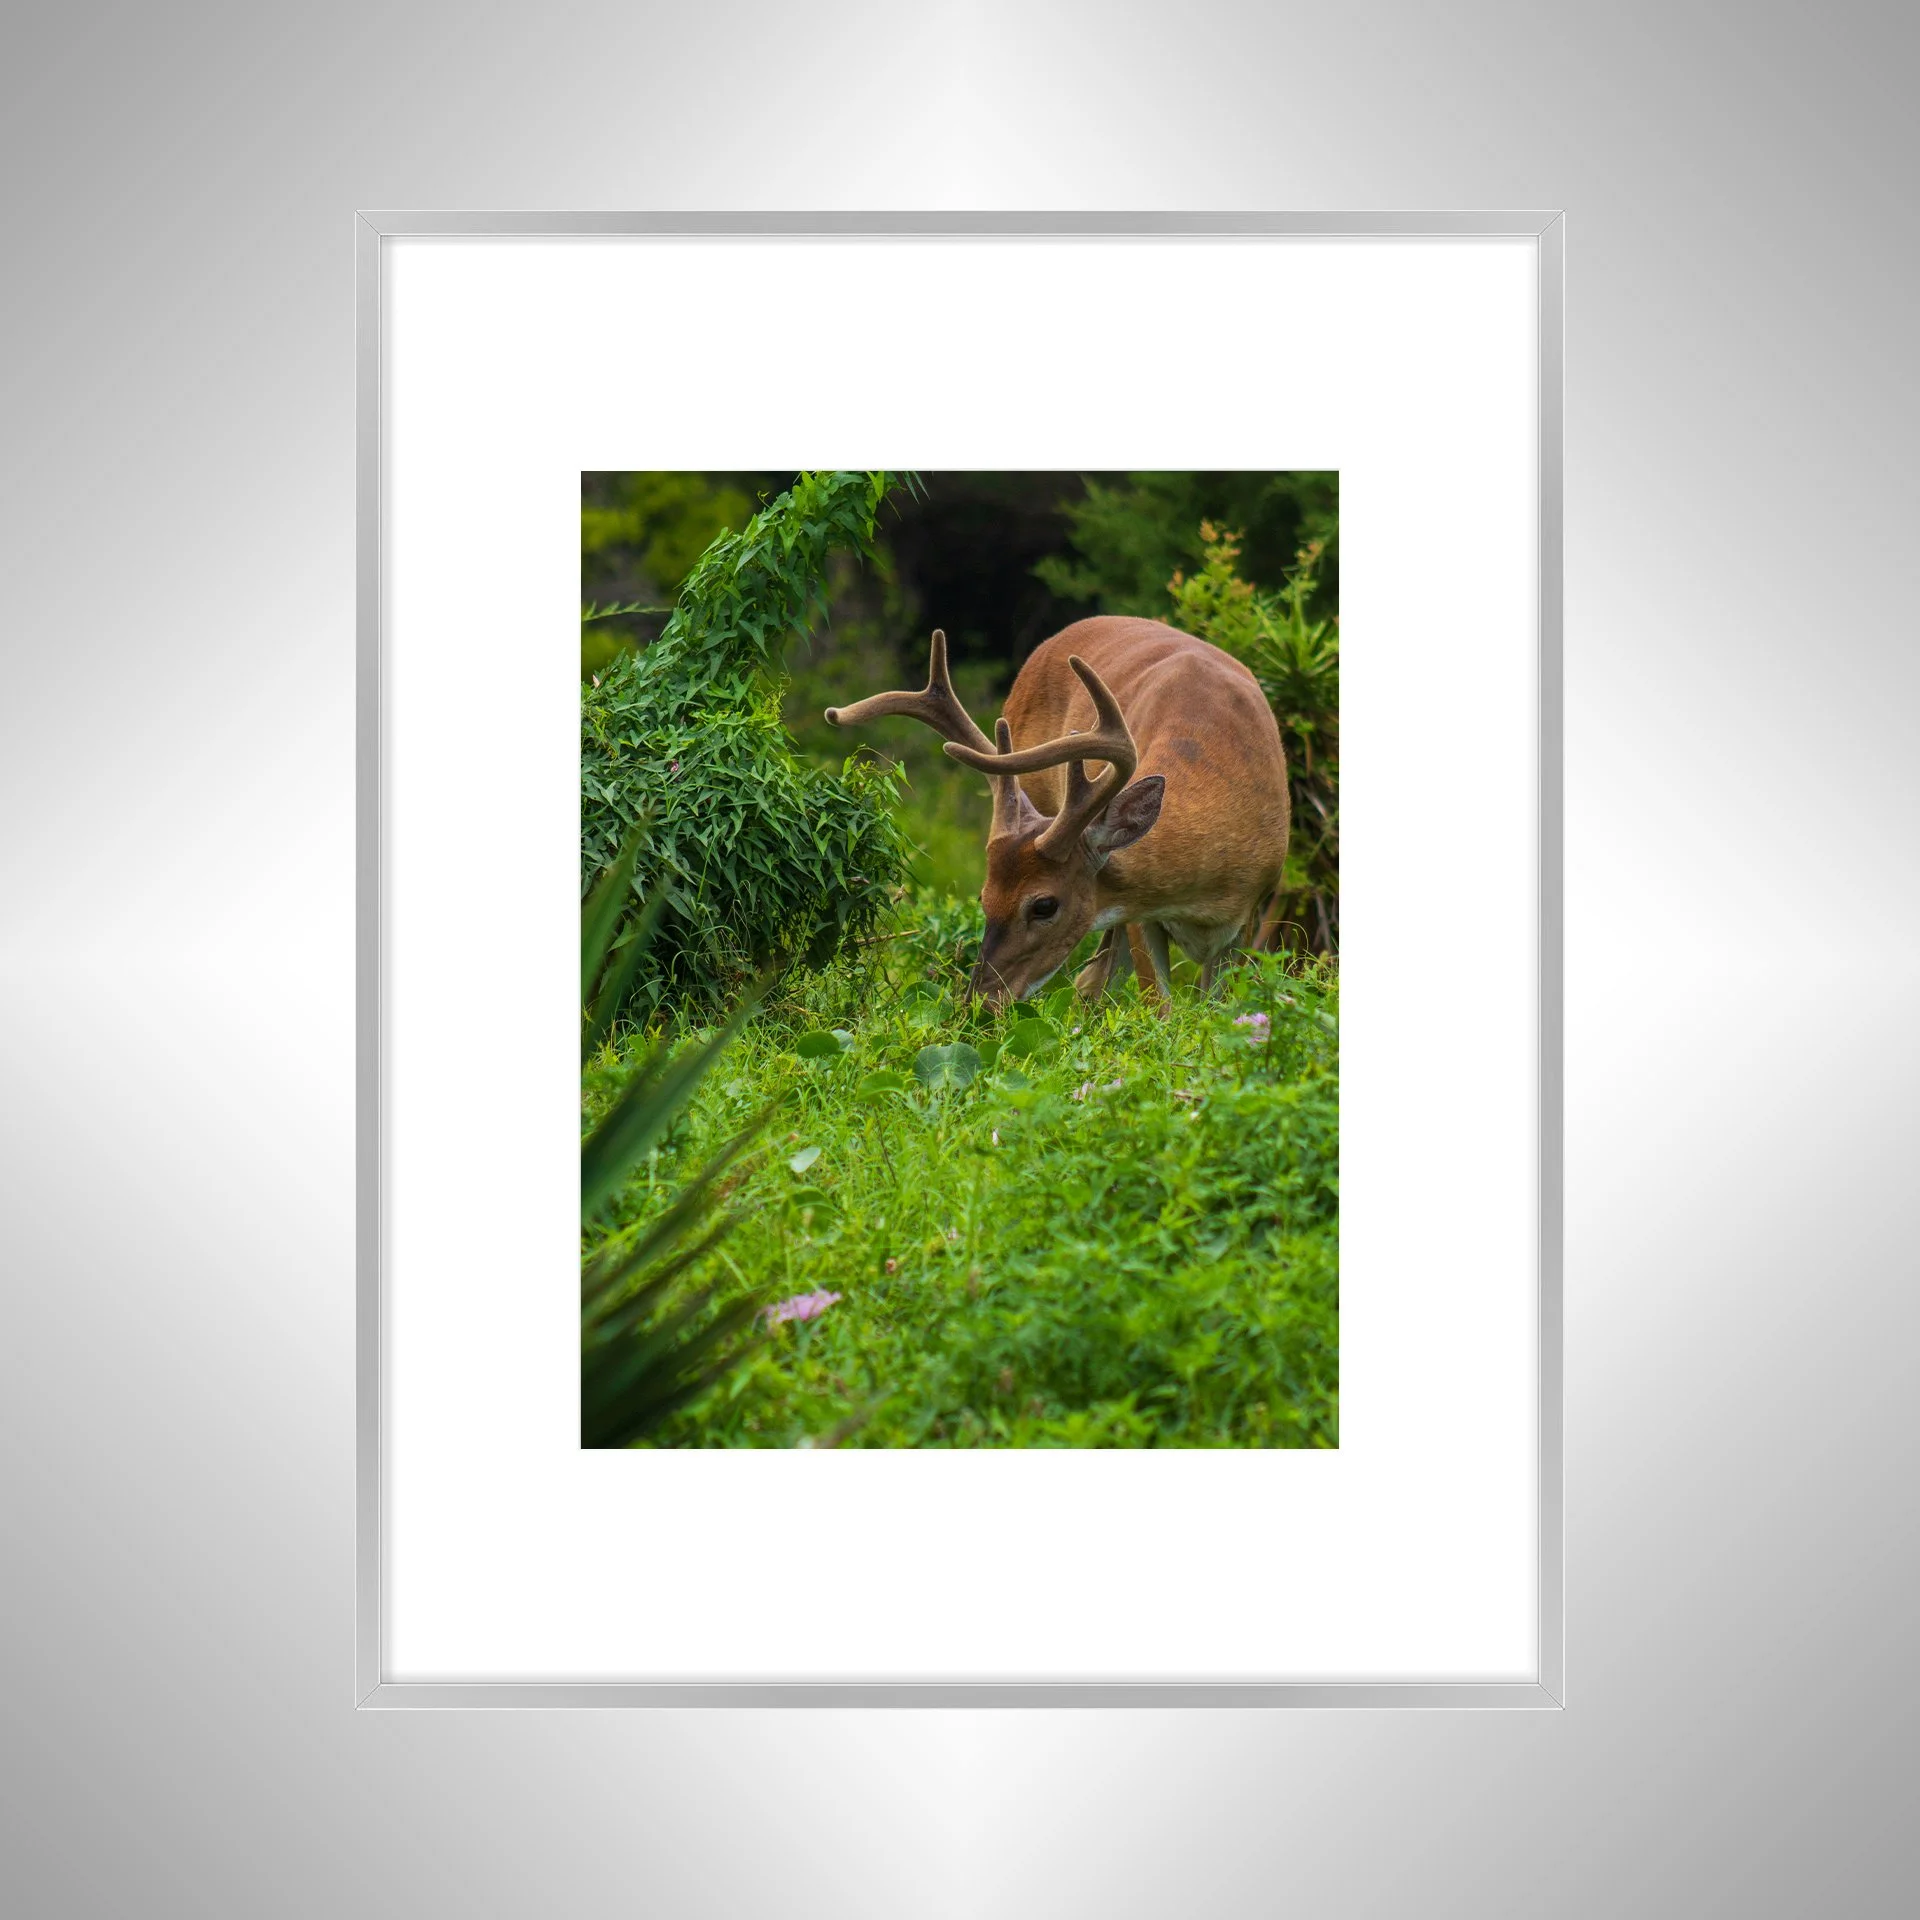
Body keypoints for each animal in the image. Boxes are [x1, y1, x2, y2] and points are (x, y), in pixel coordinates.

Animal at [826, 617, 1291, 1011]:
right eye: (983, 897)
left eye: (1044, 905)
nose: (981, 1003)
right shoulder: (1138, 914)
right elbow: (1158, 1008)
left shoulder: (1251, 911)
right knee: (1092, 983)